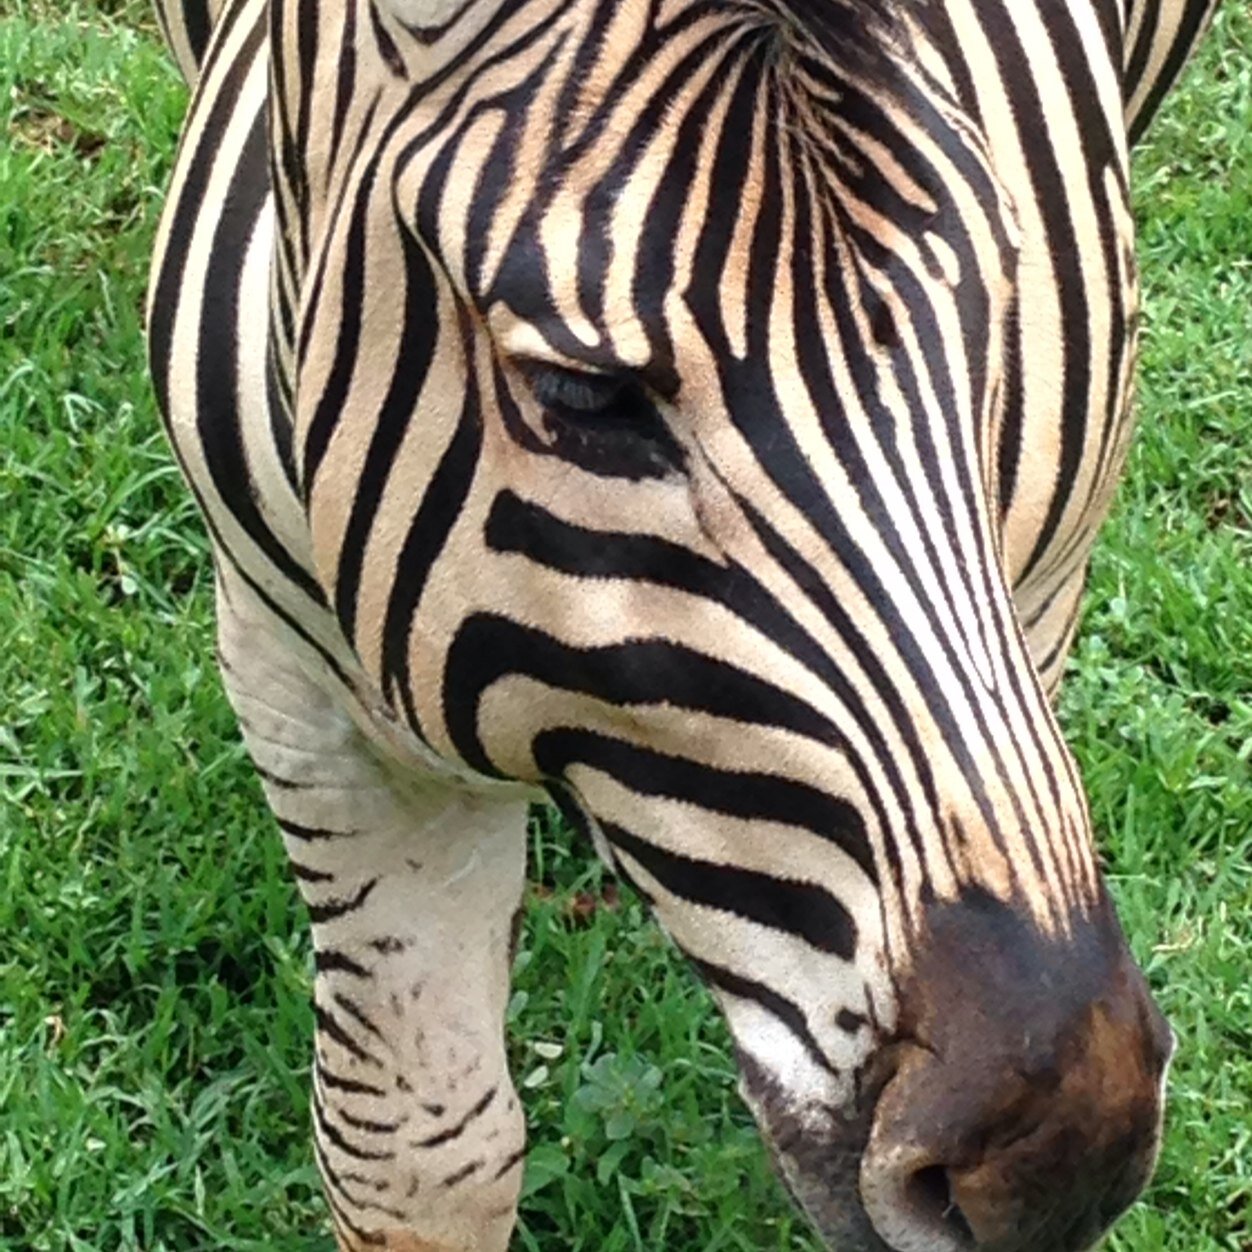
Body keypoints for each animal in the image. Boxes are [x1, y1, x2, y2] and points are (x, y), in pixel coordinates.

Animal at [142, 0, 1216, 1246]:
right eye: (579, 393)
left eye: (1000, 309)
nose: (1054, 1162)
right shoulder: (307, 691)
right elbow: (415, 1155)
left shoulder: (1035, 598)